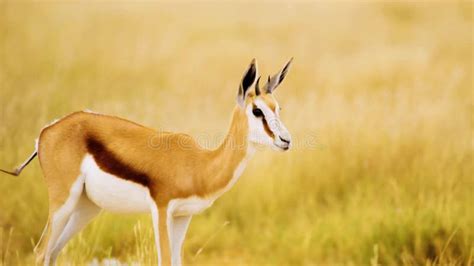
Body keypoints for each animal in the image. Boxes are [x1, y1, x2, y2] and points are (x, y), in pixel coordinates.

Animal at [0, 57, 292, 264]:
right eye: (257, 111)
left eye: (277, 107)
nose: (286, 140)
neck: (198, 164)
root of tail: (47, 130)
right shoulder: (161, 209)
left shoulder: (183, 216)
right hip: (63, 201)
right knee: (41, 251)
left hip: (86, 207)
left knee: (52, 253)